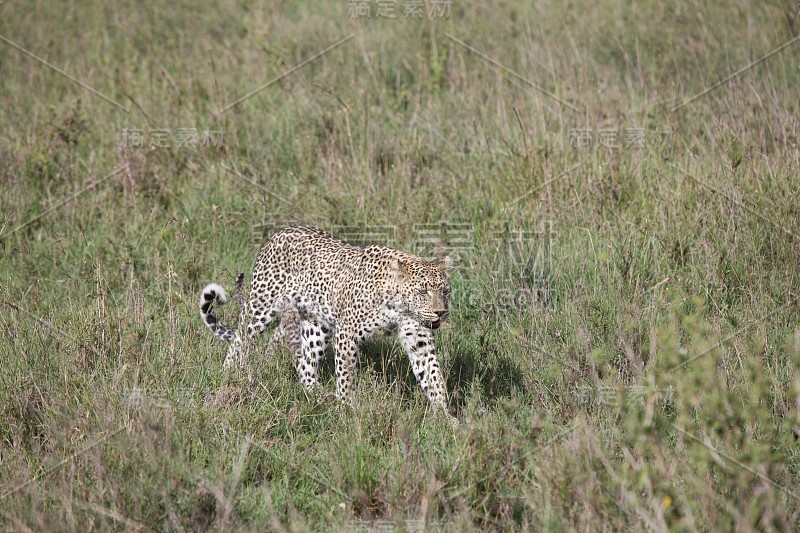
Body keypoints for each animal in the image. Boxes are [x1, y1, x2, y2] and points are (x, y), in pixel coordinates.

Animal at [198, 222, 454, 414]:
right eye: (423, 291)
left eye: (445, 291)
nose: (441, 312)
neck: (400, 306)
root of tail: (280, 232)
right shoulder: (347, 334)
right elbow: (346, 375)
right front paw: (348, 409)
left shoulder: (419, 339)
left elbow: (433, 376)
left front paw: (446, 418)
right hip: (262, 306)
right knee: (240, 339)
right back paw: (229, 376)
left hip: (316, 325)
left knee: (304, 362)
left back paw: (318, 394)